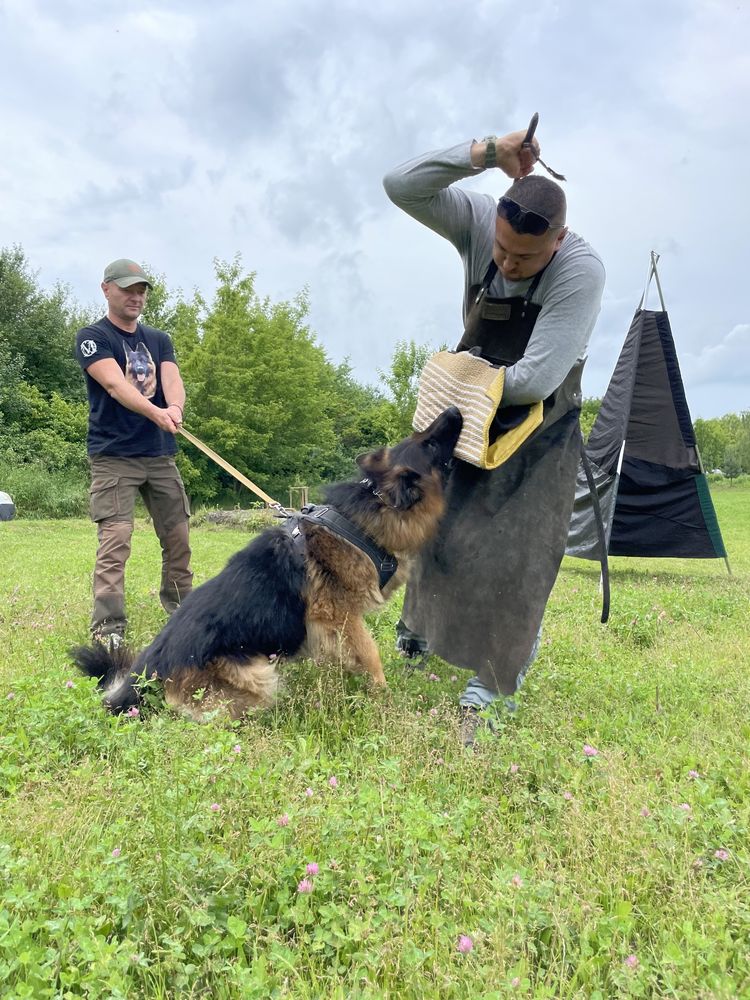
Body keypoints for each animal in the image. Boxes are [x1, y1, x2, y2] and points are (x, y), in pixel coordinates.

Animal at [75, 406, 464, 720]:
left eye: (422, 435)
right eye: (429, 444)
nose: (455, 410)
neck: (370, 510)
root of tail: (145, 673)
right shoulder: (339, 617)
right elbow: (371, 656)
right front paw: (384, 698)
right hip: (258, 673)